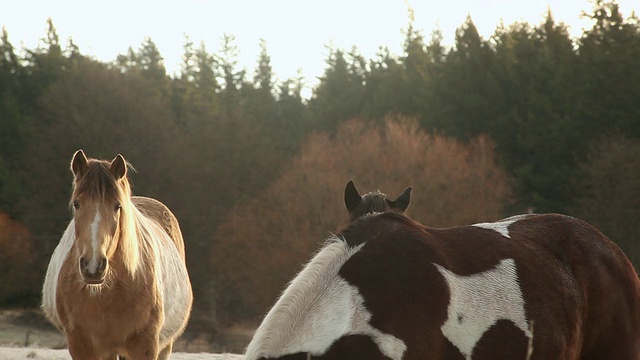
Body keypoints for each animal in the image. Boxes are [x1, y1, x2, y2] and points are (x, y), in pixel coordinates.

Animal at [41, 150, 192, 360]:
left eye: (117, 206)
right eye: (76, 204)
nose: (93, 267)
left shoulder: (145, 345)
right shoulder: (81, 345)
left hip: (164, 345)